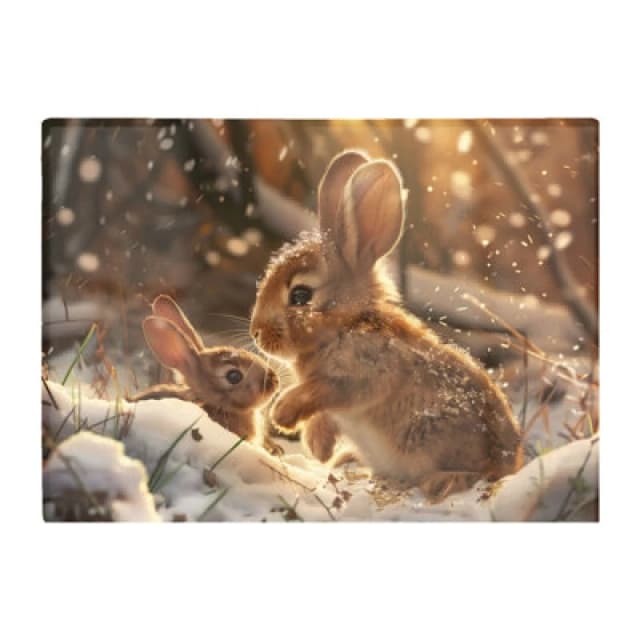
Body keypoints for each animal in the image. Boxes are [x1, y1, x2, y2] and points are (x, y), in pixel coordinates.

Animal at [250, 150, 524, 502]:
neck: (346, 324)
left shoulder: (364, 373)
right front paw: (319, 446)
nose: (256, 333)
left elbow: (323, 390)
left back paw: (441, 482)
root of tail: (511, 463)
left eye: (300, 295)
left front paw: (282, 414)